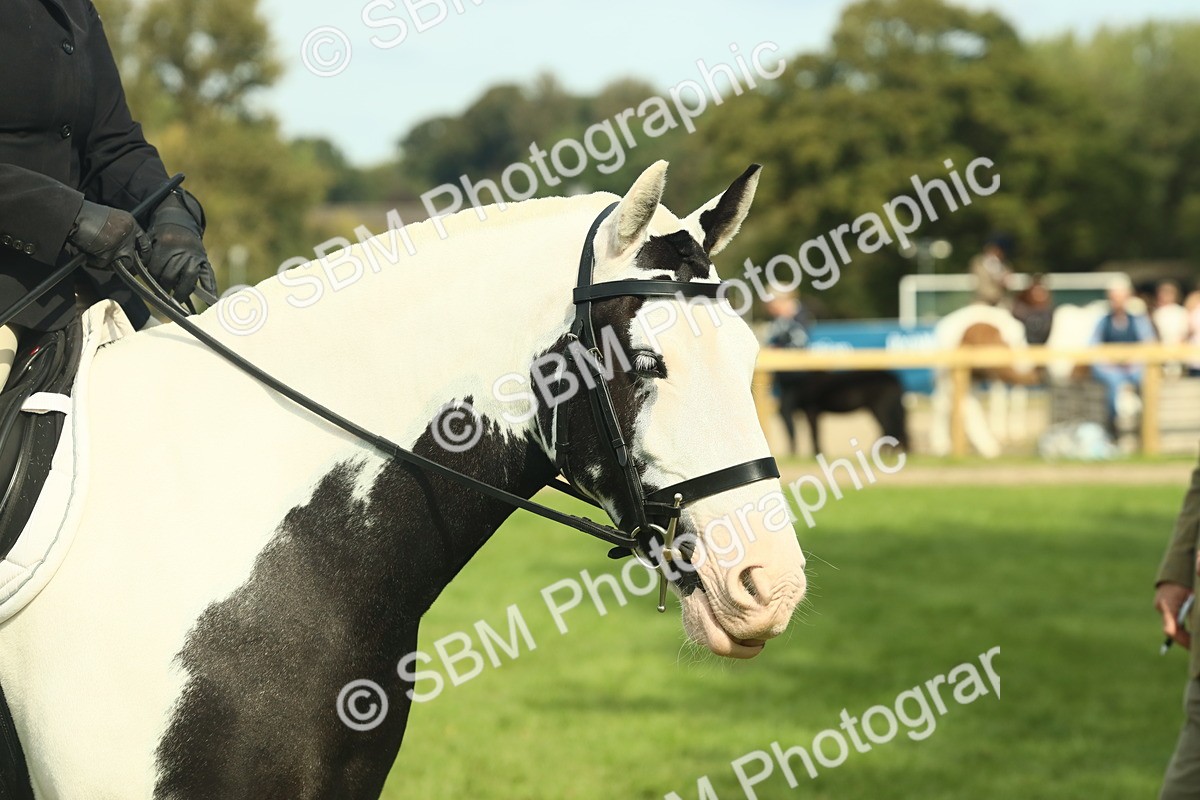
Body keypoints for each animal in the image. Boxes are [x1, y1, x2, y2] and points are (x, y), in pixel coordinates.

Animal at [774, 369, 908, 455]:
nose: (779, 409)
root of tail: (894, 379)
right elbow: (816, 433)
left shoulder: (812, 411)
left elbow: (815, 433)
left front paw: (818, 452)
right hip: (878, 409)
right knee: (894, 428)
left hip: (881, 408)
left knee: (889, 427)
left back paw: (883, 452)